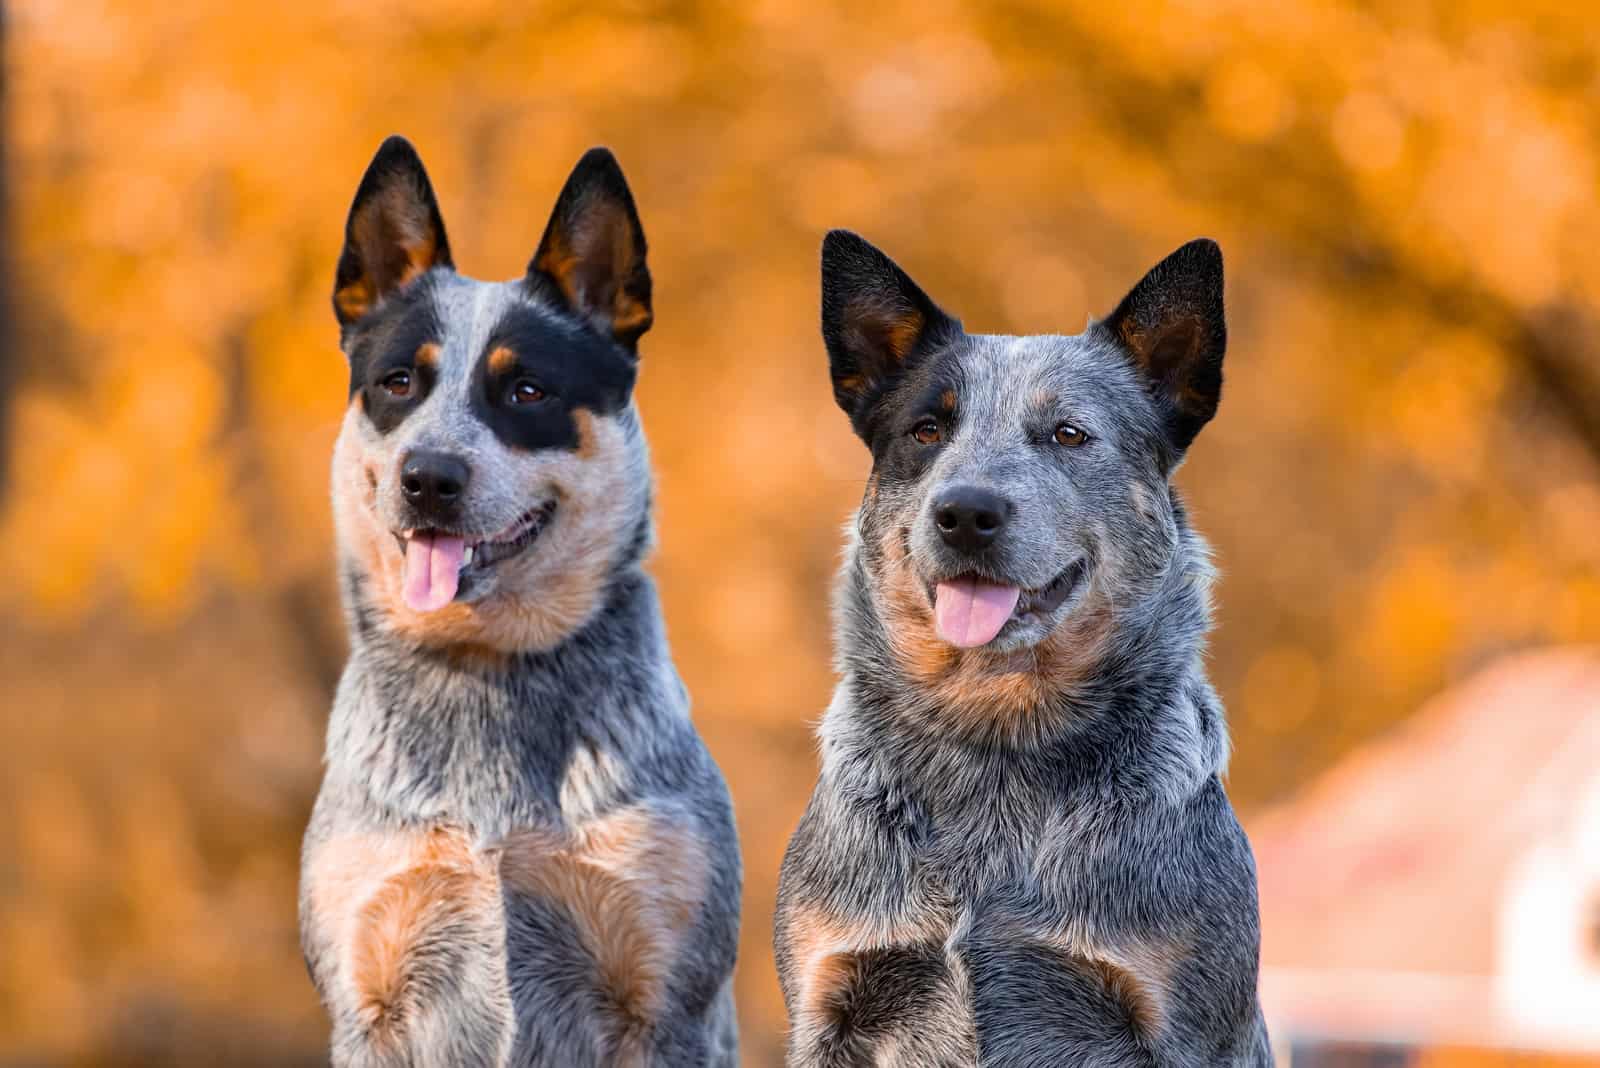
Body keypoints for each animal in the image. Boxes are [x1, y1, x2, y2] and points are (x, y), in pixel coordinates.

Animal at [300, 139, 742, 1068]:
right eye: (399, 382)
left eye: (527, 392)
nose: (429, 477)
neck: (486, 669)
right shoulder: (368, 993)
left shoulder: (666, 1001)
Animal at [774, 230, 1273, 1061]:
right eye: (927, 429)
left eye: (1069, 434)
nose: (965, 512)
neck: (994, 739)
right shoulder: (831, 998)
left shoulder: (1185, 1026)